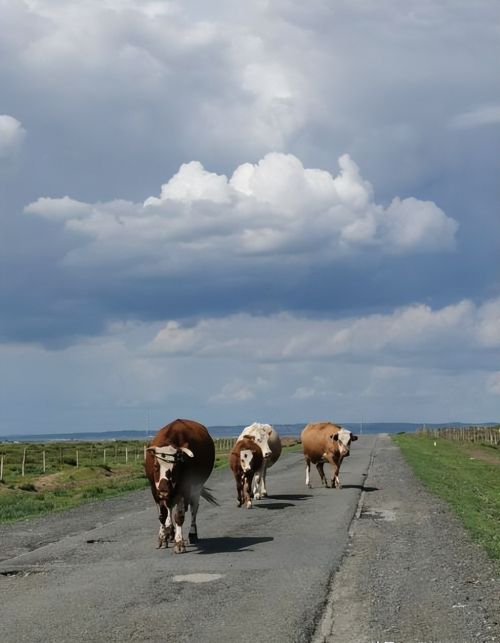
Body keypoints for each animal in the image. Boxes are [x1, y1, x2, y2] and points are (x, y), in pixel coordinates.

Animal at [144, 418, 216, 552]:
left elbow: (179, 516)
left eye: (175, 467)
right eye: (156, 466)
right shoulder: (155, 491)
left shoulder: (184, 490)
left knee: (194, 508)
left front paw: (179, 542)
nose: (164, 489)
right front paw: (162, 537)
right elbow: (162, 515)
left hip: (196, 488)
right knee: (169, 507)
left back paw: (192, 533)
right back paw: (169, 531)